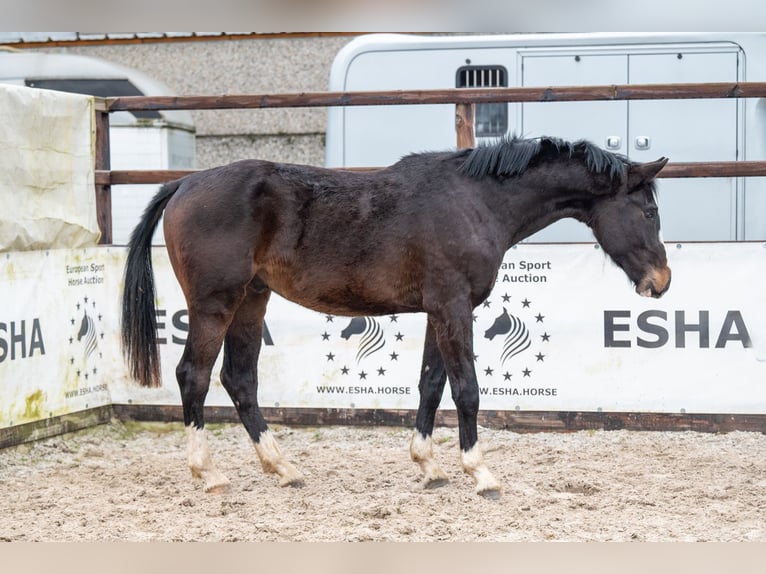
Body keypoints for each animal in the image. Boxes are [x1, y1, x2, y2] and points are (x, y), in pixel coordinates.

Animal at [121, 135, 672, 500]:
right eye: (648, 212)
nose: (661, 281)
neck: (475, 201)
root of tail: (185, 184)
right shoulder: (453, 307)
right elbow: (467, 389)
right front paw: (480, 473)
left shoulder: (438, 311)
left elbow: (430, 384)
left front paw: (428, 466)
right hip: (216, 303)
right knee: (194, 376)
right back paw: (208, 473)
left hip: (253, 300)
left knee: (240, 380)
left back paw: (282, 467)